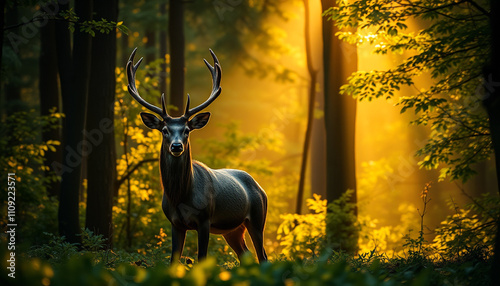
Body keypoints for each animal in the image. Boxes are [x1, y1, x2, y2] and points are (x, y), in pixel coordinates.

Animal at [127, 48, 270, 264]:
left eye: (187, 130)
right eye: (165, 130)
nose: (177, 146)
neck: (180, 196)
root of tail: (260, 187)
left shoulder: (204, 219)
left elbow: (202, 257)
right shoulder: (175, 222)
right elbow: (173, 259)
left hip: (257, 218)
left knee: (263, 256)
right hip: (232, 230)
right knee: (246, 255)